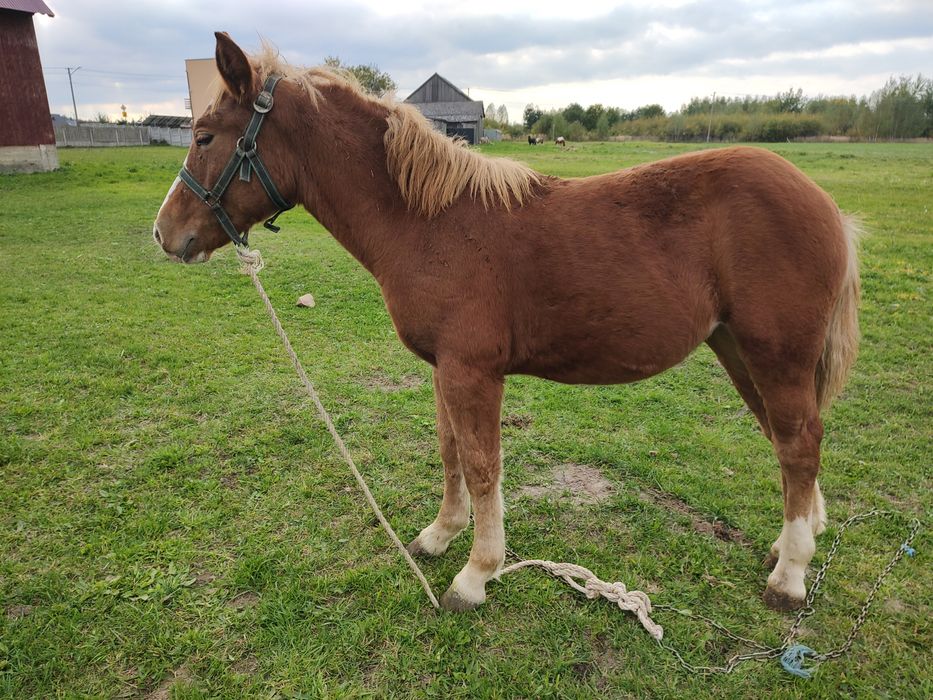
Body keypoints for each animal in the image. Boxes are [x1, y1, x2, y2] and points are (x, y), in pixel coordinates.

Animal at [155, 32, 860, 612]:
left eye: (206, 136)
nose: (165, 235)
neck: (431, 222)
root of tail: (828, 207)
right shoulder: (443, 368)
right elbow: (449, 453)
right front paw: (439, 536)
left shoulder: (474, 372)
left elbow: (482, 464)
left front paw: (476, 574)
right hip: (740, 351)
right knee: (787, 440)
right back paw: (789, 547)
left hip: (776, 355)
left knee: (799, 445)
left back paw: (789, 578)